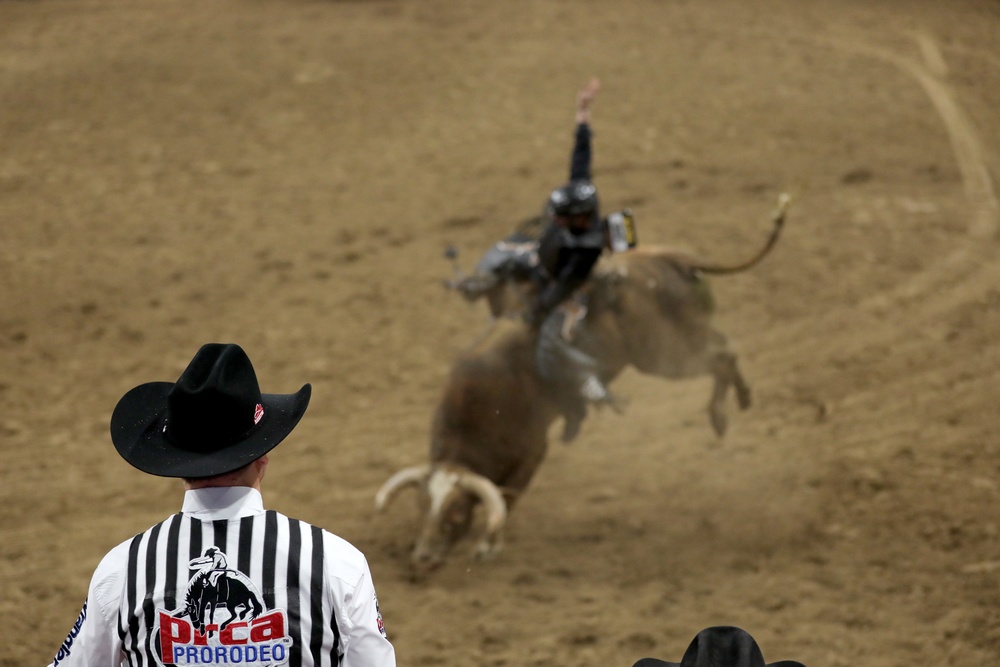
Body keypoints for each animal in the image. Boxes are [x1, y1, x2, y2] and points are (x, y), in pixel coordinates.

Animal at [376, 194, 788, 576]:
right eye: (422, 507)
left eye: (457, 513)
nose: (422, 559)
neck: (480, 408)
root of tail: (670, 259)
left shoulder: (532, 450)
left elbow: (509, 498)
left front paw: (487, 548)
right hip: (685, 337)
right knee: (724, 348)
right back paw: (732, 405)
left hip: (665, 355)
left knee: (723, 356)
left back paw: (722, 412)